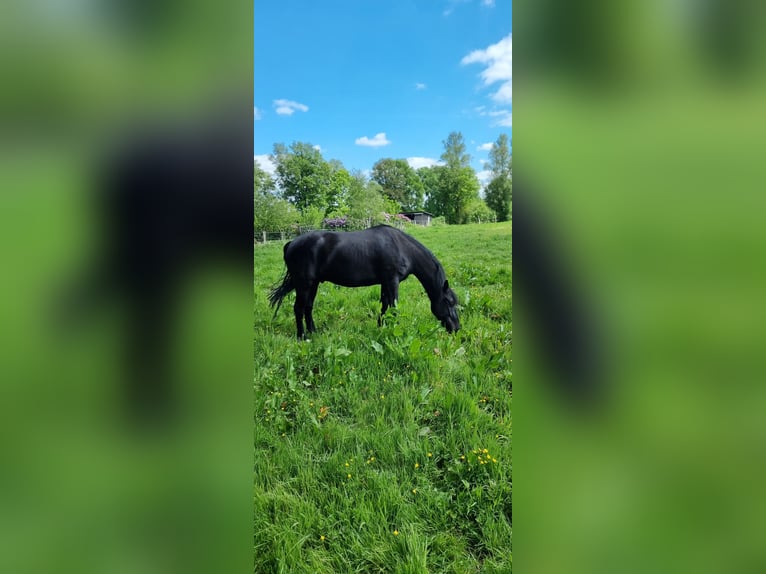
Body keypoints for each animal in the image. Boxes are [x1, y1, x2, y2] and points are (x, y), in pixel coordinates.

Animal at [270, 225, 462, 340]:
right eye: (448, 302)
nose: (456, 328)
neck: (402, 247)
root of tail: (291, 243)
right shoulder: (392, 281)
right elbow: (393, 307)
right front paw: (395, 331)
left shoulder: (385, 282)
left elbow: (385, 306)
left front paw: (381, 327)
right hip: (303, 284)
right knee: (299, 308)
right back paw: (302, 337)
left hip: (313, 283)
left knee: (308, 307)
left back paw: (313, 332)